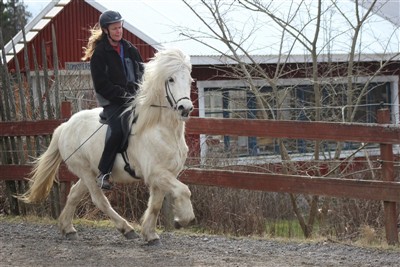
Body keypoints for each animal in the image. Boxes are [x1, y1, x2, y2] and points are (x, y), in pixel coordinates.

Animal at [18, 47, 196, 245]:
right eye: (171, 79)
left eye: (189, 80)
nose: (185, 108)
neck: (159, 128)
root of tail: (65, 126)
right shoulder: (156, 173)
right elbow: (184, 190)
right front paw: (182, 220)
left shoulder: (166, 174)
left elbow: (156, 205)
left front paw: (151, 235)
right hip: (85, 171)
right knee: (99, 200)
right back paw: (126, 229)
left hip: (91, 172)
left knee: (74, 194)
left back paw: (68, 228)